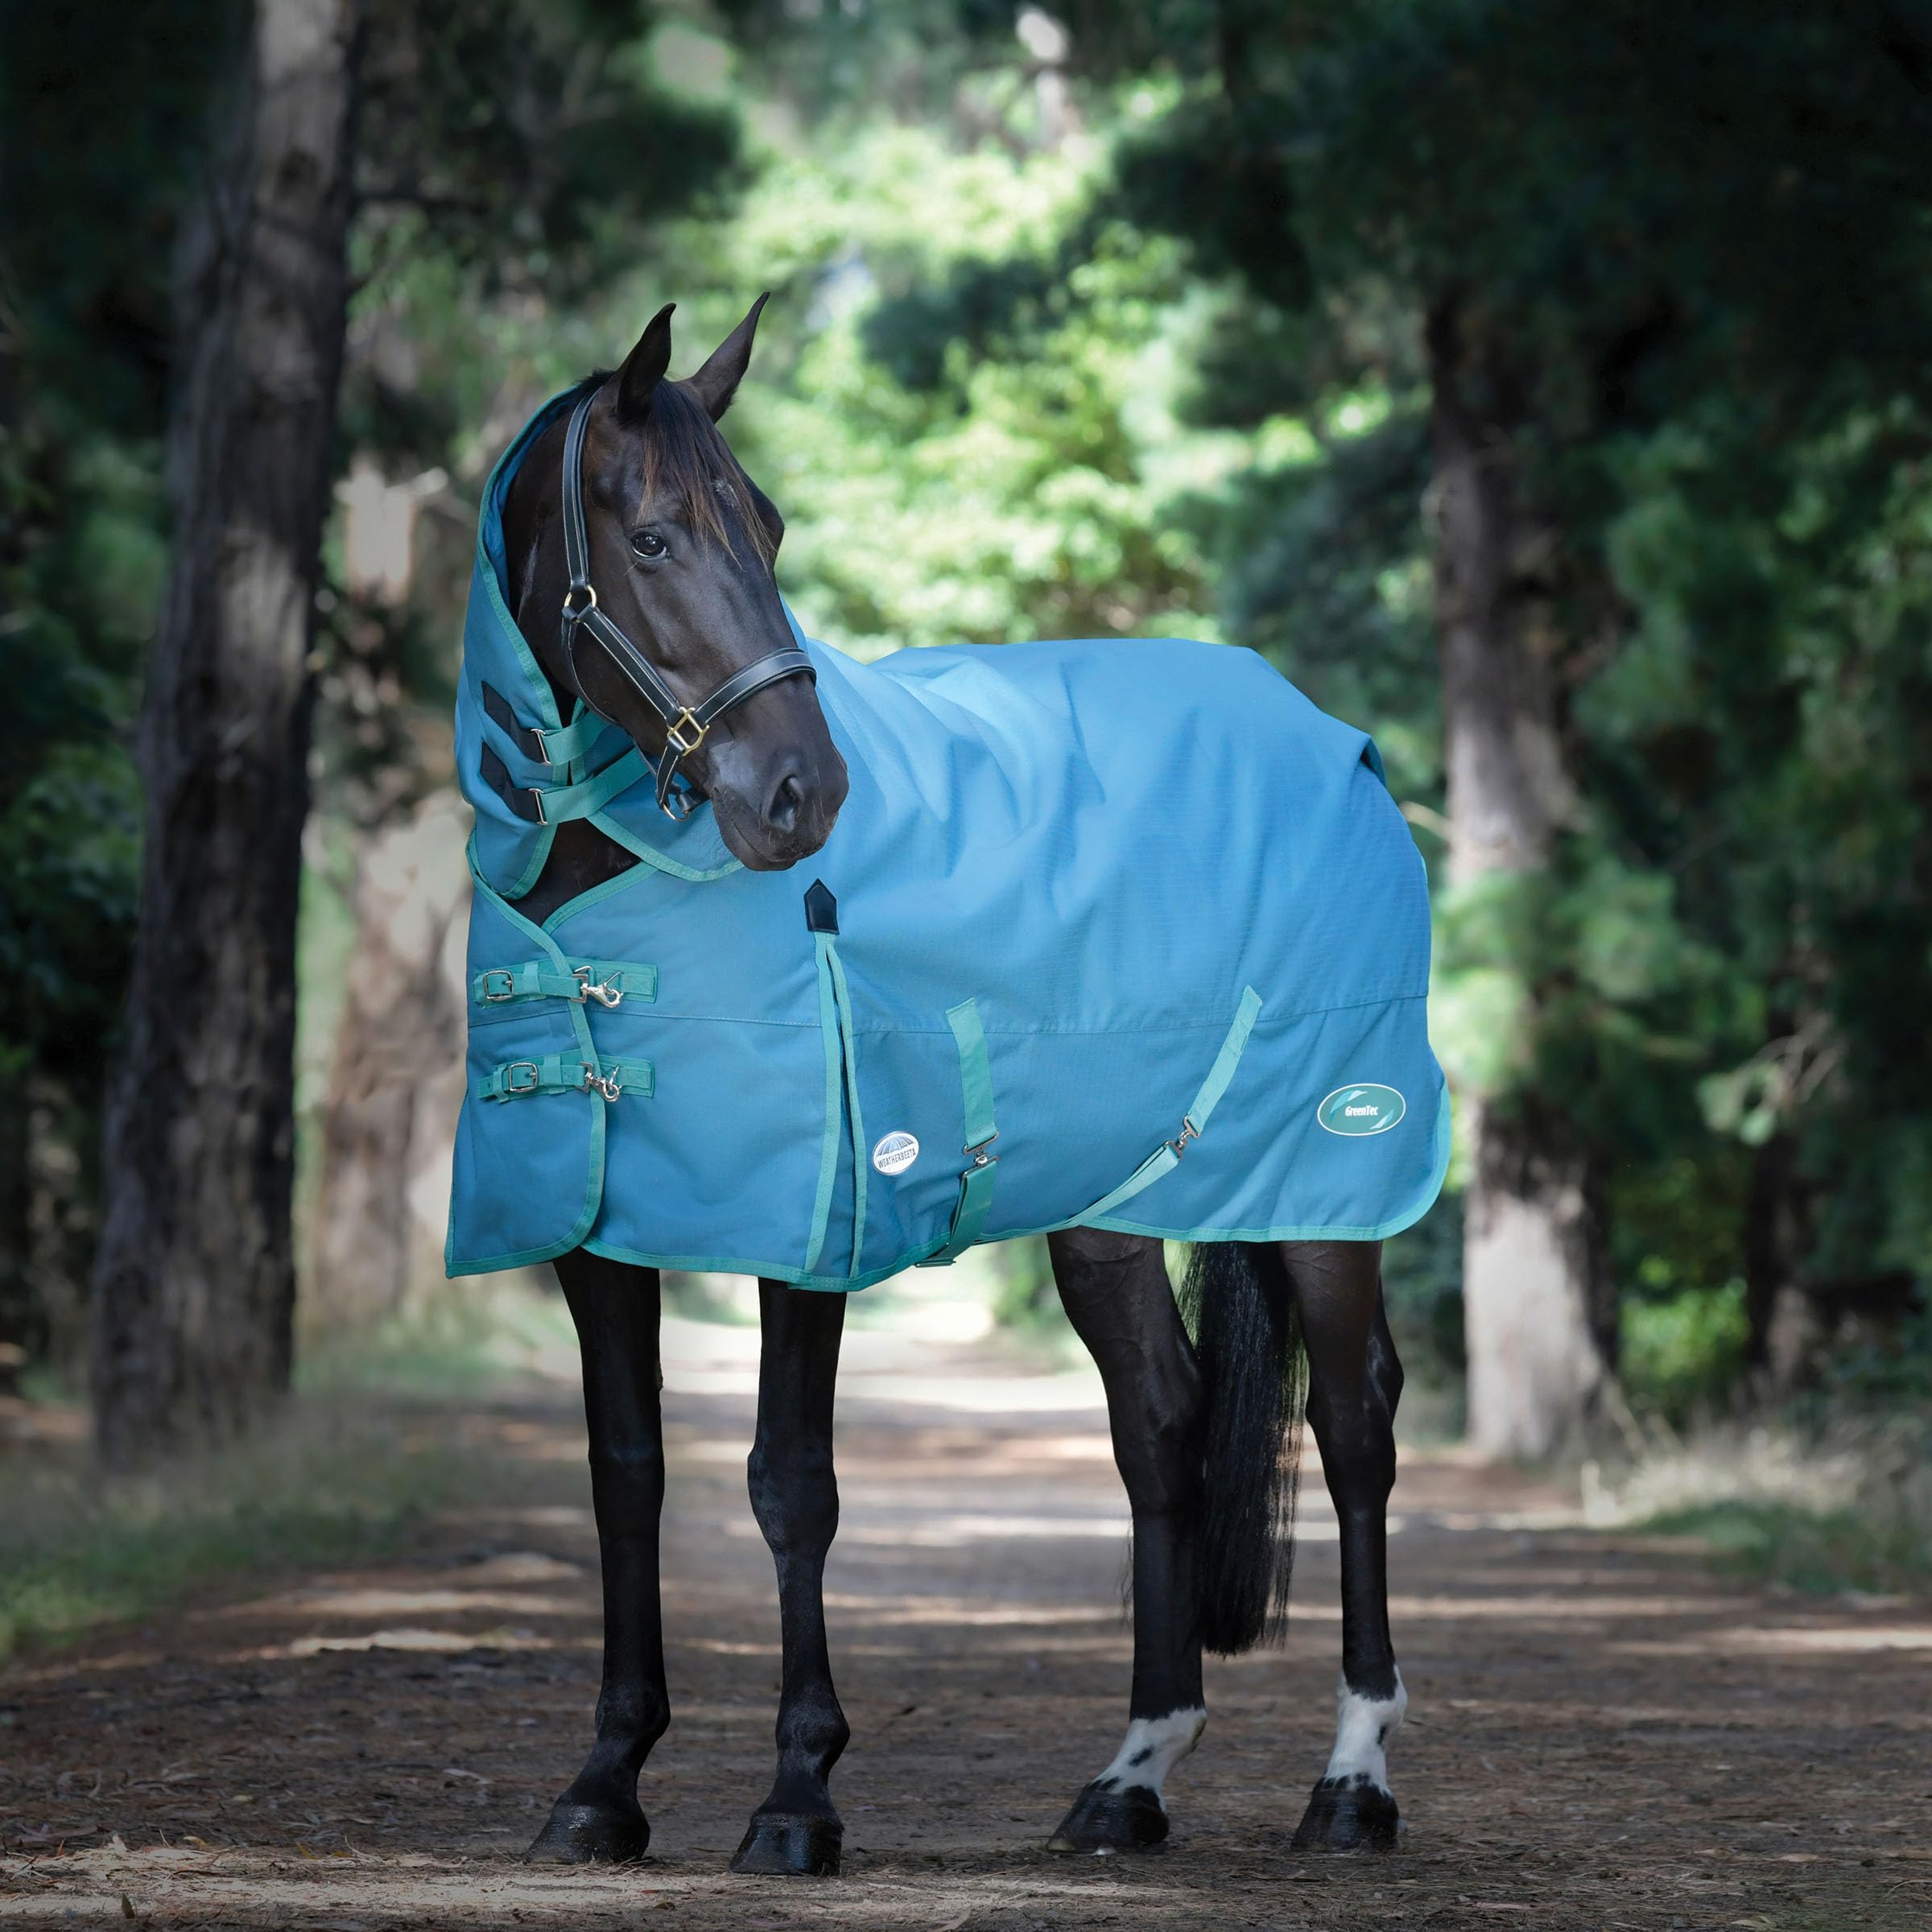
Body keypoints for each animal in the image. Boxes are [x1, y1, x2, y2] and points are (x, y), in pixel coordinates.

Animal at [451, 298, 1434, 1875]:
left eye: (769, 527)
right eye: (651, 538)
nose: (804, 794)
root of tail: (1336, 744)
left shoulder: (805, 1220)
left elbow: (790, 1483)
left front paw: (798, 1798)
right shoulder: (600, 1232)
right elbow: (628, 1474)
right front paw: (603, 1783)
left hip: (1328, 1179)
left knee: (1354, 1426)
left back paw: (1352, 1784)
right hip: (1113, 1203)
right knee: (1160, 1424)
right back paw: (1130, 1780)